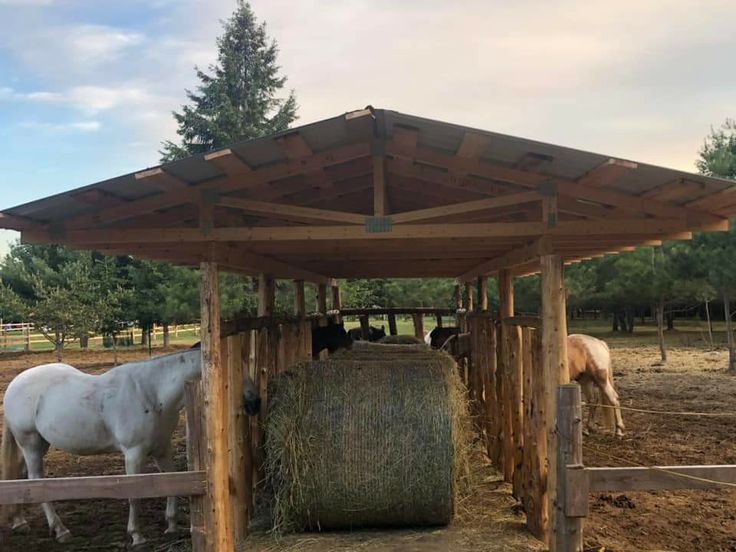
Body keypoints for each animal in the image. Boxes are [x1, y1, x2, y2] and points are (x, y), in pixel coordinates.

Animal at [0, 348, 260, 544]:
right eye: (232, 372)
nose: (255, 402)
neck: (152, 393)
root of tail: (14, 384)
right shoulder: (134, 454)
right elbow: (135, 494)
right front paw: (136, 536)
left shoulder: (162, 450)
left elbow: (171, 482)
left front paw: (171, 525)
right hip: (31, 443)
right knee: (36, 481)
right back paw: (60, 530)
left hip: (37, 445)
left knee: (23, 478)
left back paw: (20, 522)